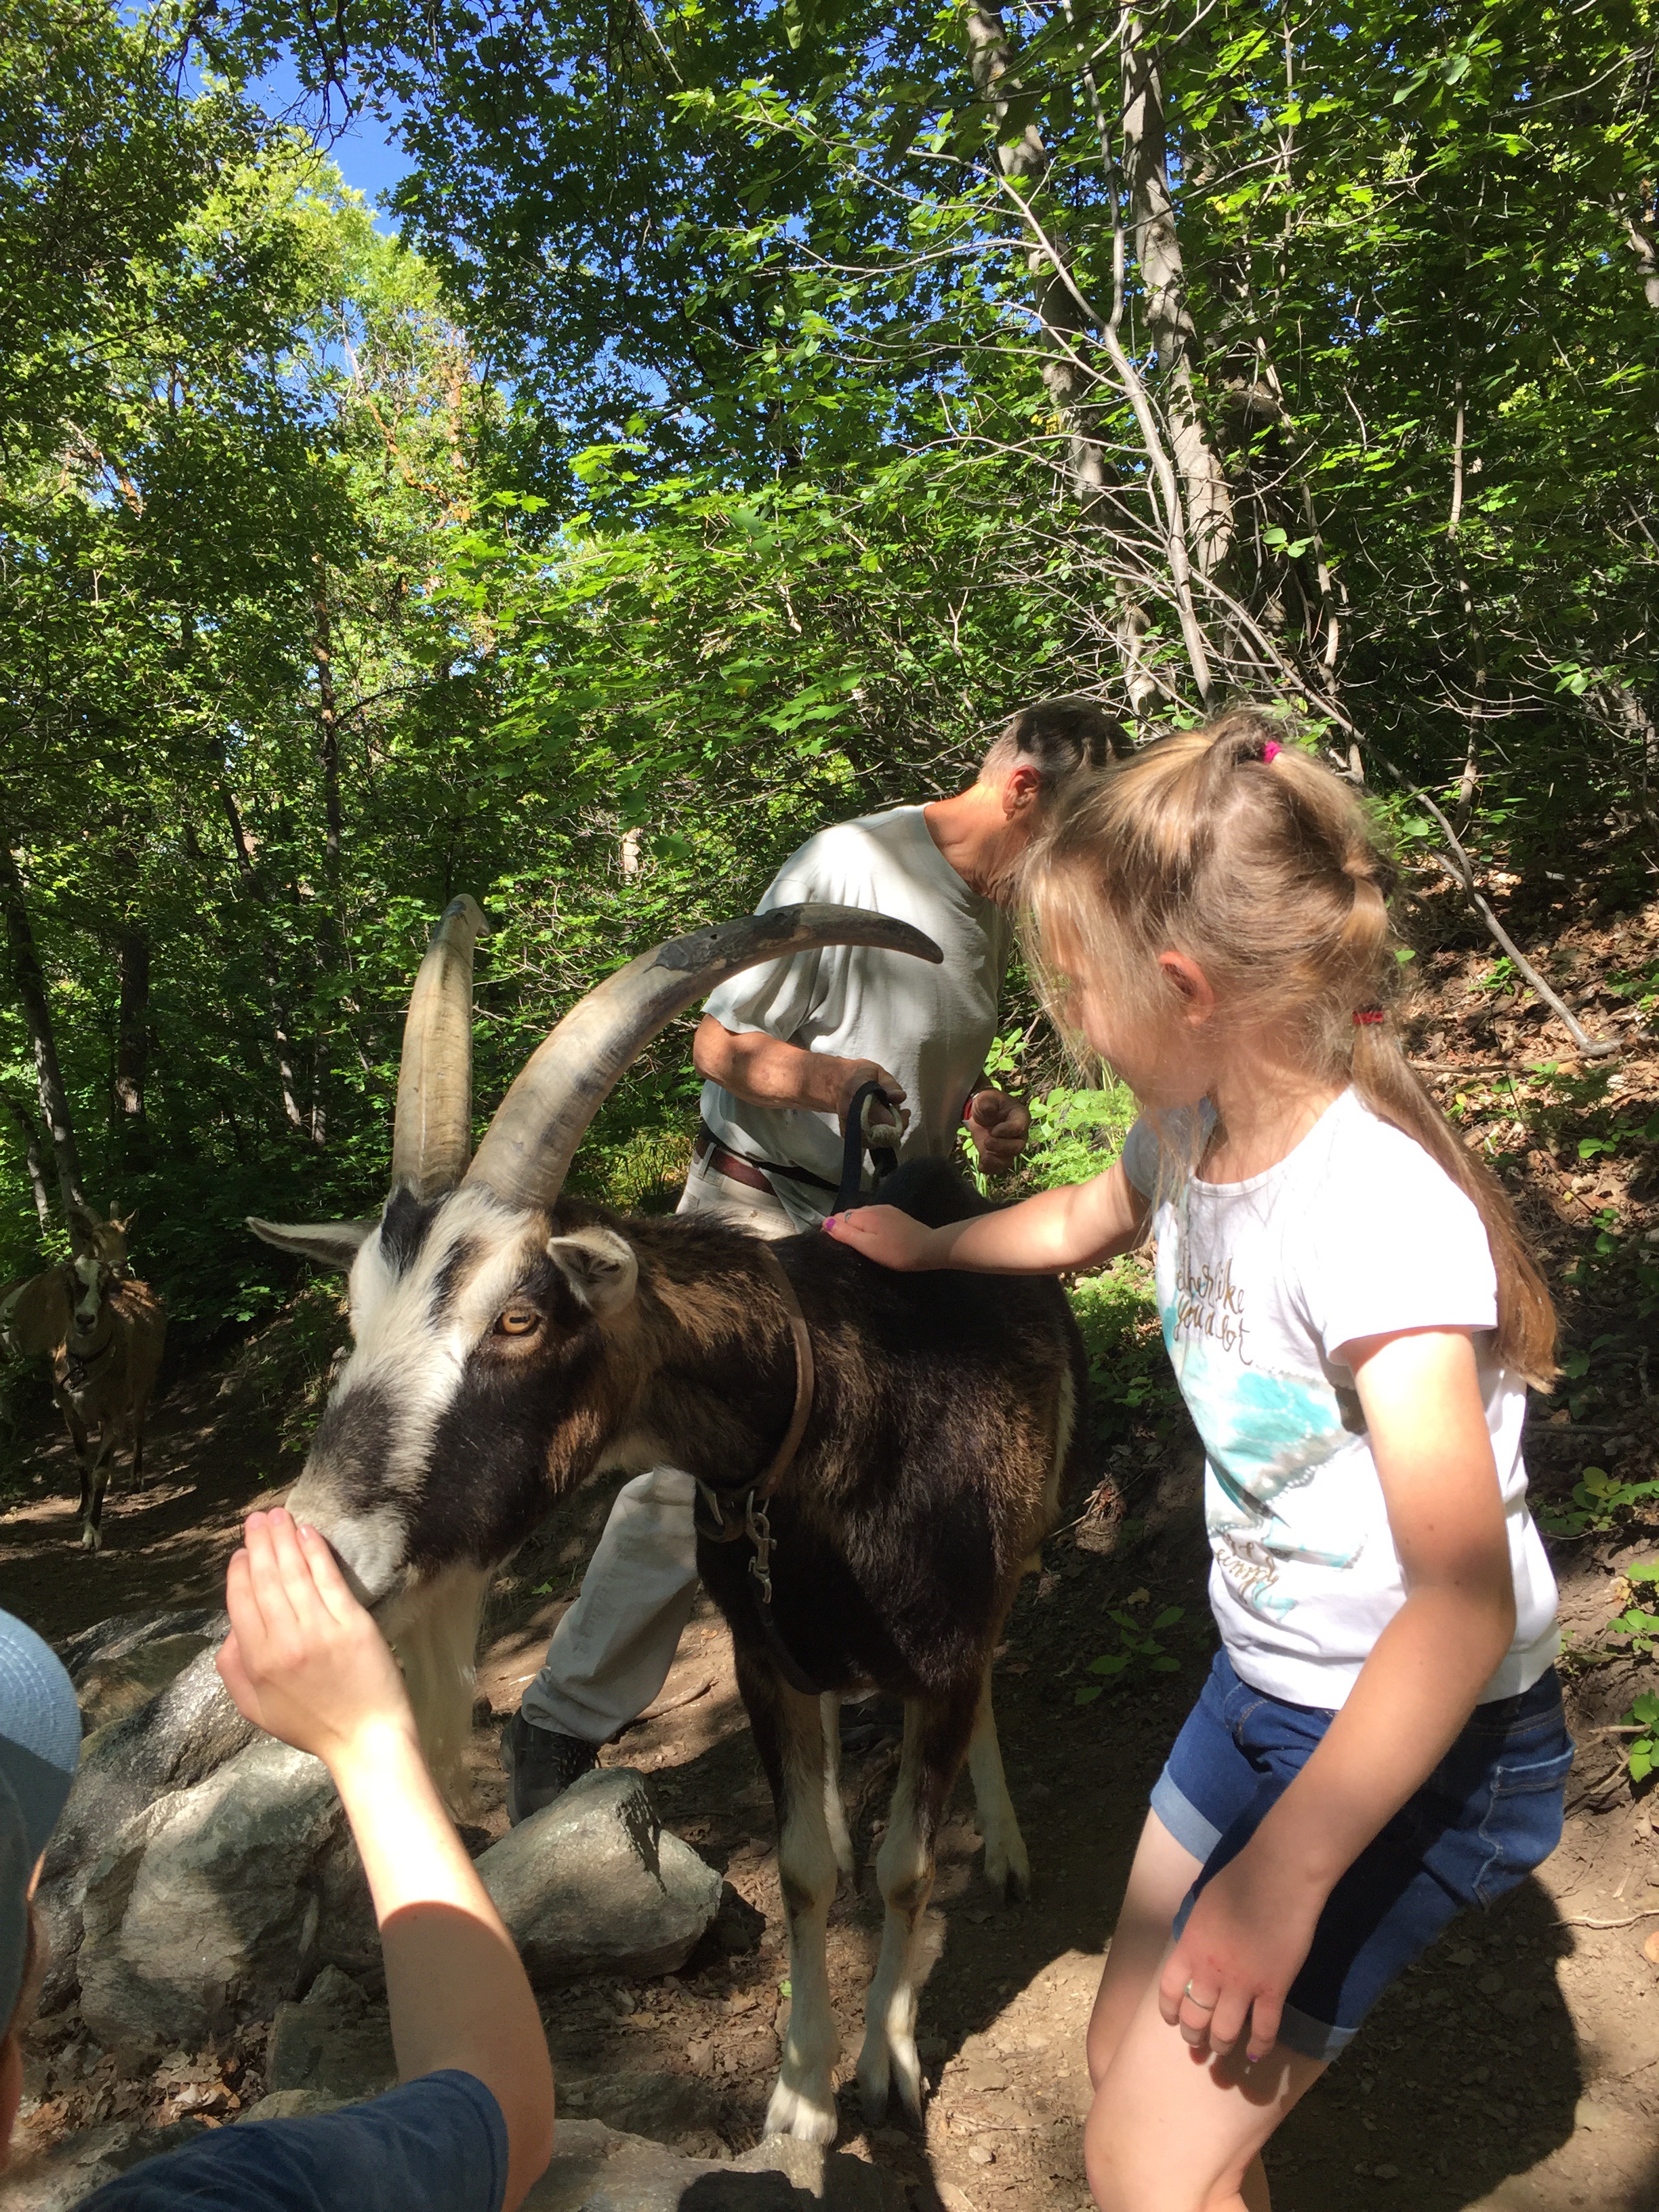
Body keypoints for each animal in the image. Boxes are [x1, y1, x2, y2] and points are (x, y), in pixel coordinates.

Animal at [251, 897, 1087, 2143]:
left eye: (518, 1316)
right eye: (356, 1315)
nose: (323, 1545)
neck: (834, 1406)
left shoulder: (940, 1648)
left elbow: (905, 1865)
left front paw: (887, 2063)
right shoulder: (763, 1660)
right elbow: (804, 1866)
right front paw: (800, 2094)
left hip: (1012, 1561)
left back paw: (1012, 1848)